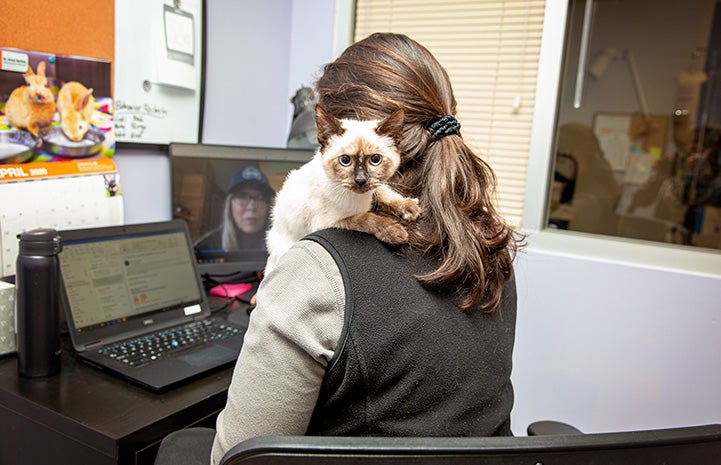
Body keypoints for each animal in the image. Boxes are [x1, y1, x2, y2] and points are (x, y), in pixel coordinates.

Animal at [264, 105, 422, 274]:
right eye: (345, 160)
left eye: (375, 159)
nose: (360, 180)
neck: (361, 198)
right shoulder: (331, 222)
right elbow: (368, 218)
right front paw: (395, 231)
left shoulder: (373, 187)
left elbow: (384, 193)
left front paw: (409, 208)